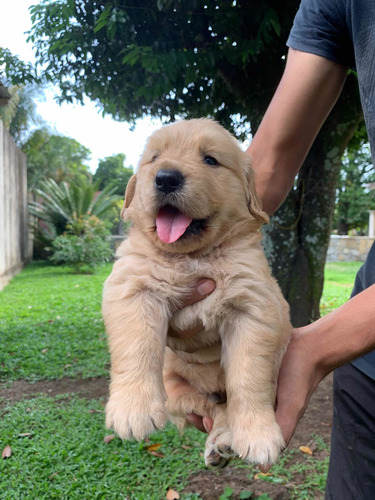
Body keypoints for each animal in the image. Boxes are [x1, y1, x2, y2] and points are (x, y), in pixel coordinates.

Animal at [103, 119, 294, 466]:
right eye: (154, 158)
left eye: (210, 160)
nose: (166, 177)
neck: (192, 257)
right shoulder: (132, 286)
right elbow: (136, 347)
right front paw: (133, 410)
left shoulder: (253, 305)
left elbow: (249, 376)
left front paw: (258, 435)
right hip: (176, 394)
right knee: (210, 406)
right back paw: (218, 444)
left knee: (225, 404)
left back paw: (225, 440)